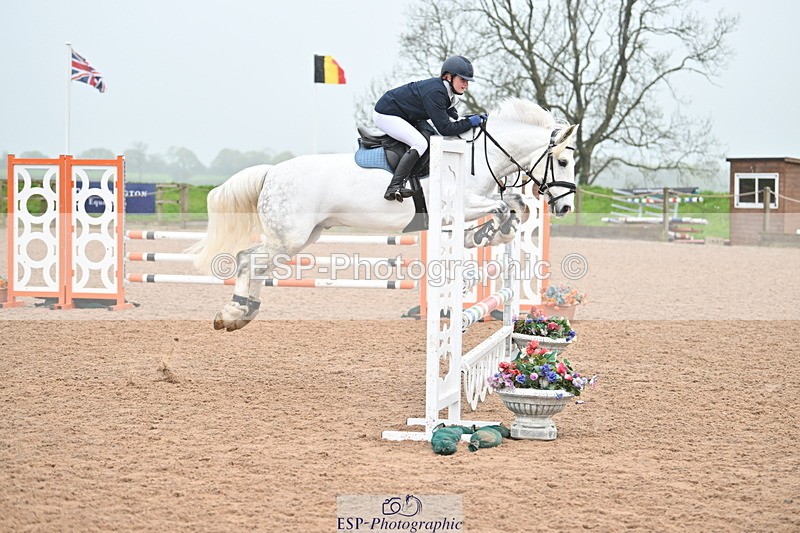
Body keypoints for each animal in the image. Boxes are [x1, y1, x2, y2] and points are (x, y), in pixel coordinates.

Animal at [189, 97, 579, 331]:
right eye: (562, 161)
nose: (566, 207)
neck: (477, 155)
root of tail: (271, 172)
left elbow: (514, 205)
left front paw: (488, 234)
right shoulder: (459, 205)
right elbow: (500, 208)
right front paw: (490, 231)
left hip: (301, 237)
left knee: (255, 263)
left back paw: (246, 312)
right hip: (289, 237)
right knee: (247, 258)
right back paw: (233, 313)